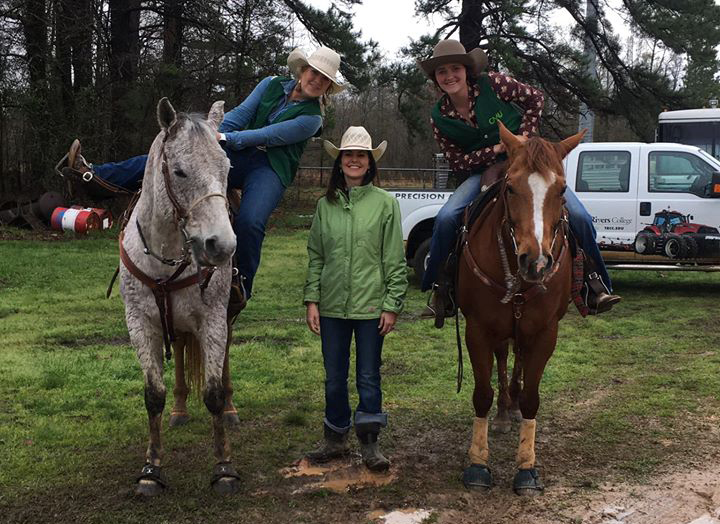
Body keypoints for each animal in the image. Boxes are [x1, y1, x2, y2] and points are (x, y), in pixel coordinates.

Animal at [120, 98, 239, 496]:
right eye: (180, 171)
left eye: (227, 167)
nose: (222, 245)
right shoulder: (140, 325)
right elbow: (153, 394)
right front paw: (151, 469)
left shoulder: (213, 320)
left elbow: (213, 393)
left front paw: (224, 468)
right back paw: (180, 410)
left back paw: (230, 410)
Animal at [462, 123, 584, 496]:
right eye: (511, 187)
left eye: (562, 189)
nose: (536, 262)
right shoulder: (478, 330)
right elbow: (482, 394)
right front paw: (478, 463)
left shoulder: (545, 332)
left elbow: (531, 397)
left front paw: (527, 468)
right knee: (505, 359)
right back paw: (504, 412)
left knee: (517, 361)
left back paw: (512, 408)